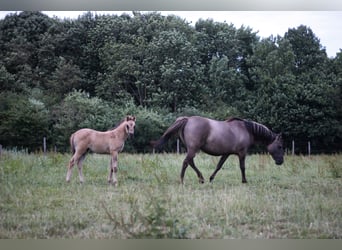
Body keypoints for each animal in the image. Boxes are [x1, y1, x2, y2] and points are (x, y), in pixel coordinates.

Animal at [152, 115, 284, 184]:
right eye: (280, 146)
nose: (281, 162)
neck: (246, 130)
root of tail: (187, 119)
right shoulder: (242, 153)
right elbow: (242, 167)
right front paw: (244, 181)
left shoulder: (226, 153)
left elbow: (219, 166)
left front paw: (211, 178)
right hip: (193, 149)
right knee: (186, 162)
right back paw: (182, 180)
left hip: (192, 149)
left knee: (190, 162)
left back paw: (201, 178)